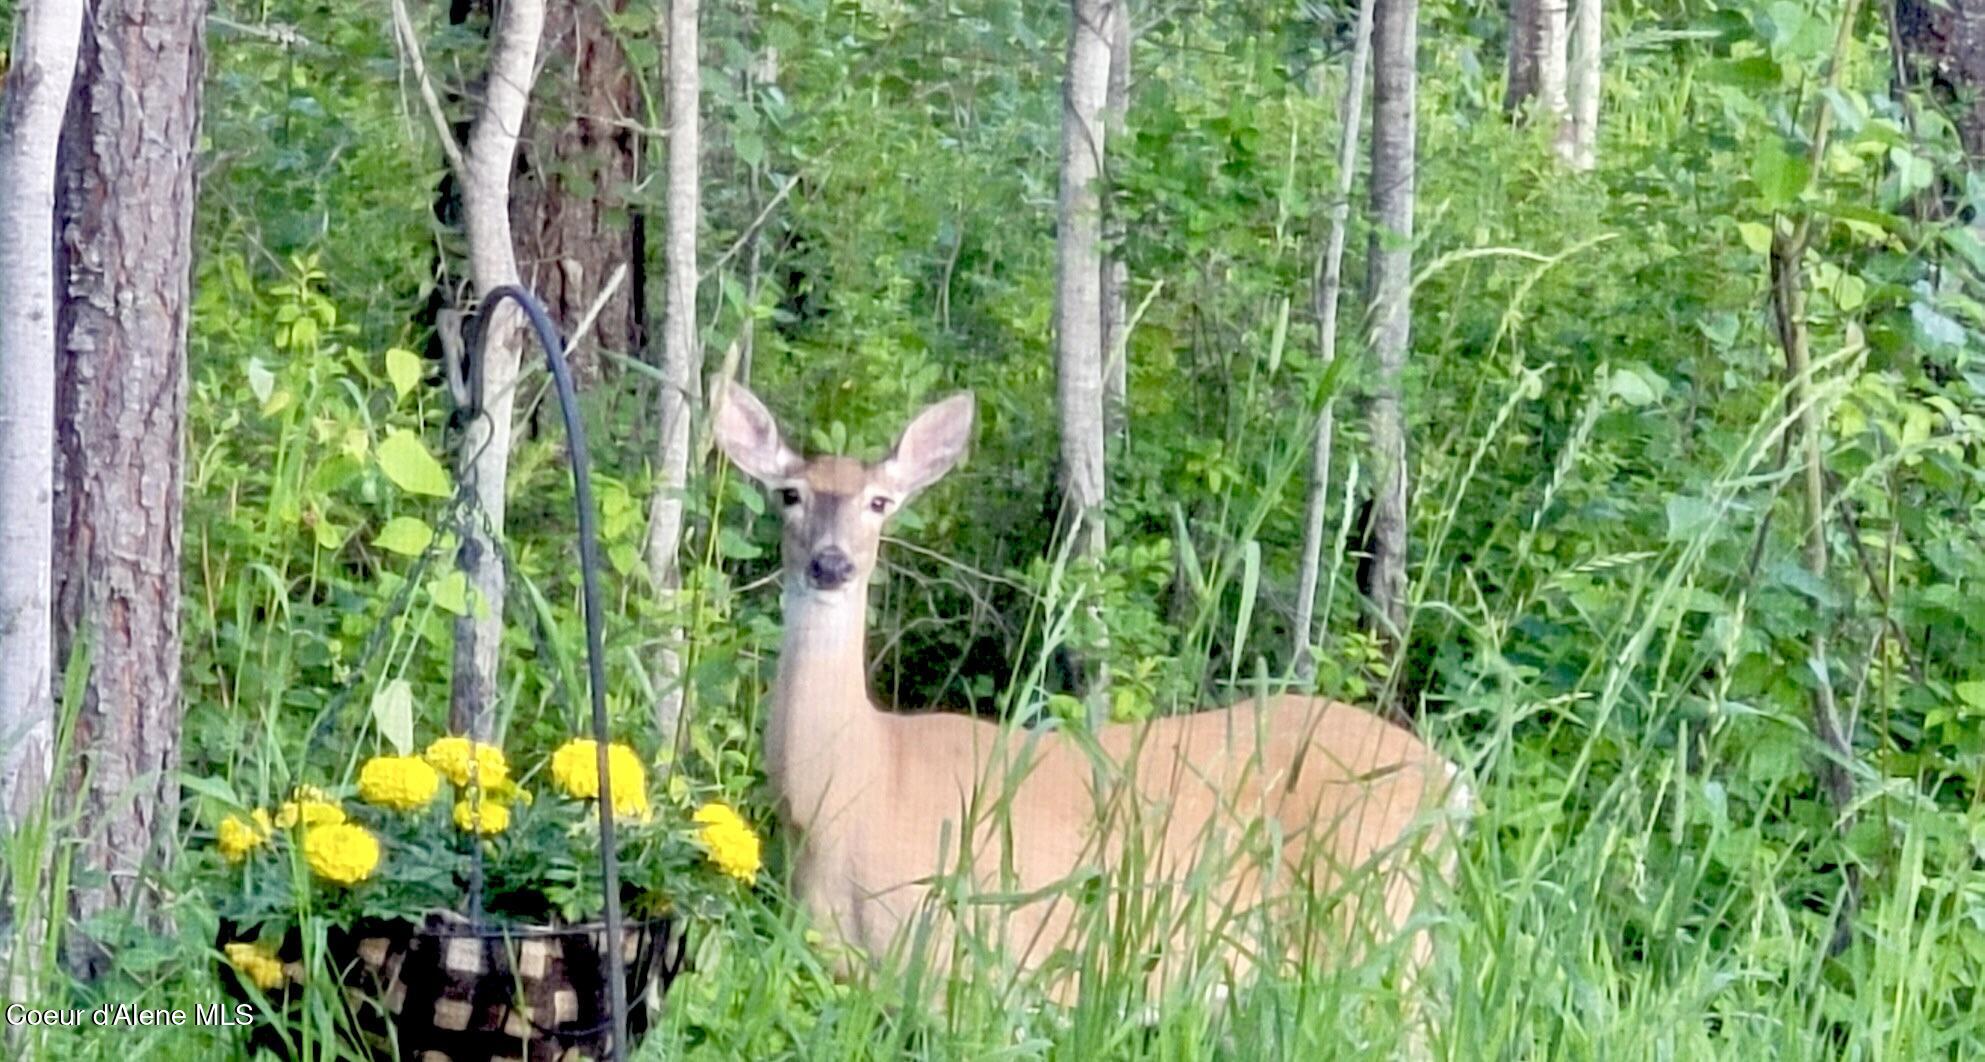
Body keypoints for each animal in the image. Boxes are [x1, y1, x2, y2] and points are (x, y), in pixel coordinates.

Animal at [712, 383, 1470, 1016]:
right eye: (789, 494)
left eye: (879, 502)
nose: (832, 563)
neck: (851, 787)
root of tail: (1450, 781)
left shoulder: (961, 958)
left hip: (1371, 911)